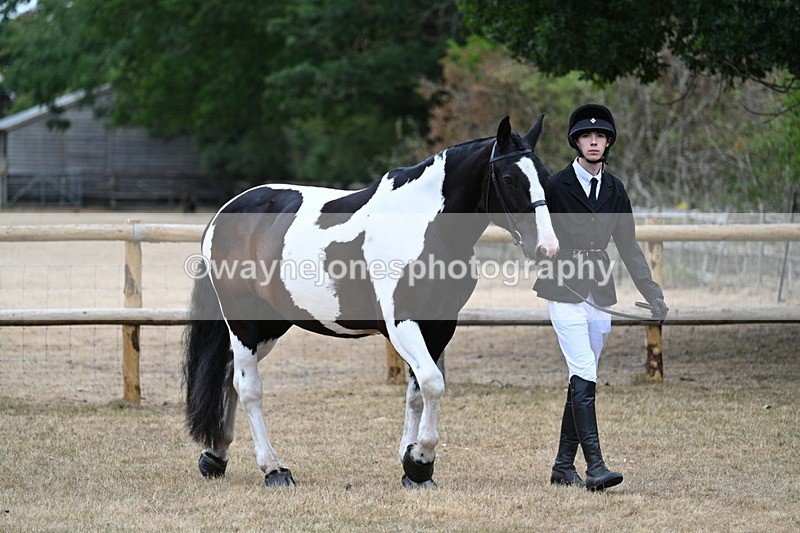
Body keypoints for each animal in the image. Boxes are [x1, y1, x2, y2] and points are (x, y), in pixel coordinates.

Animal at [183, 115, 559, 488]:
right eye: (509, 178)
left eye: (545, 176)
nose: (547, 247)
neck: (424, 226)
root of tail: (224, 214)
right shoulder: (402, 324)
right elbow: (433, 382)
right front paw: (421, 460)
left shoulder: (439, 325)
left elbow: (418, 390)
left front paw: (411, 466)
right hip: (243, 322)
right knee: (248, 387)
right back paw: (274, 469)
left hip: (270, 325)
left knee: (229, 376)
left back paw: (216, 456)